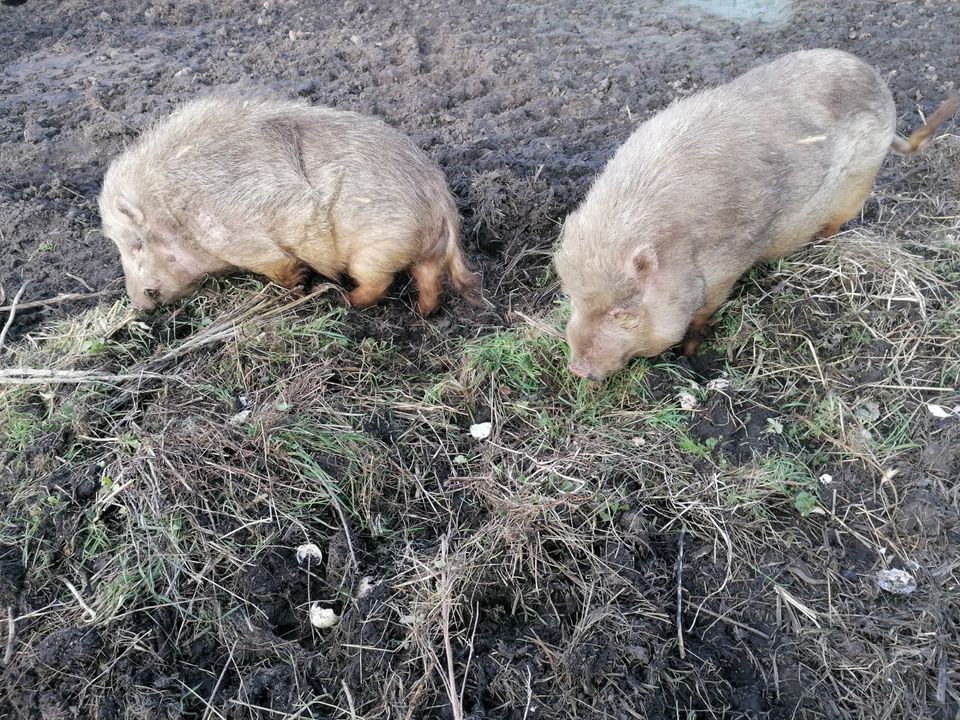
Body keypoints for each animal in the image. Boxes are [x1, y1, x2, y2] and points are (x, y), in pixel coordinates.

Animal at [99, 94, 480, 314]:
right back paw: (421, 315)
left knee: (379, 283)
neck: (175, 215)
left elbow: (279, 265)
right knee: (429, 278)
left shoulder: (240, 239)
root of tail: (438, 195)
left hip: (377, 246)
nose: (138, 305)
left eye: (136, 245)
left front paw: (296, 287)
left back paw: (345, 301)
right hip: (417, 246)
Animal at [556, 47, 960, 380]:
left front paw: (687, 353)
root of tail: (880, 85)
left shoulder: (728, 262)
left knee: (835, 223)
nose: (576, 369)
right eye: (573, 298)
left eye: (622, 312)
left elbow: (703, 314)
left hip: (859, 183)